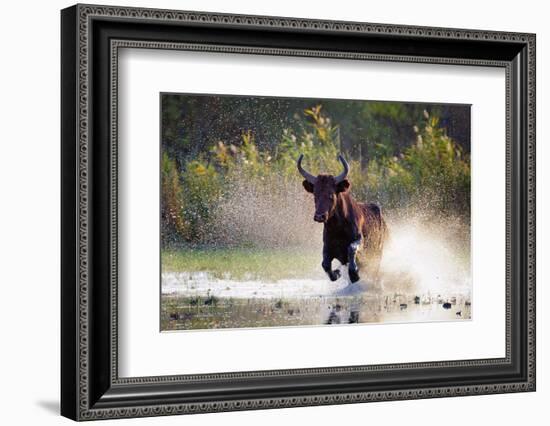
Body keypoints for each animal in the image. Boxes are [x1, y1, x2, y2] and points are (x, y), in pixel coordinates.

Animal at [298, 154, 388, 282]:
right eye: (315, 195)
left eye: (331, 195)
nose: (319, 216)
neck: (338, 228)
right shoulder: (328, 247)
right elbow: (325, 264)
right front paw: (337, 273)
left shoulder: (359, 241)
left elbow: (351, 249)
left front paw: (354, 273)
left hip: (377, 254)